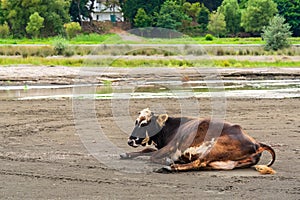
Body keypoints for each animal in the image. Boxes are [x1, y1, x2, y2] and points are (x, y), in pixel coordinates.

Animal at [120, 108, 276, 173]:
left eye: (144, 124)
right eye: (136, 122)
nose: (130, 141)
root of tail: (256, 143)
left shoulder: (171, 147)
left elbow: (152, 156)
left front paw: (167, 161)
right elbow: (148, 149)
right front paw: (126, 154)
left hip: (213, 148)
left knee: (199, 162)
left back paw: (170, 167)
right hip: (222, 163)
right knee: (201, 165)